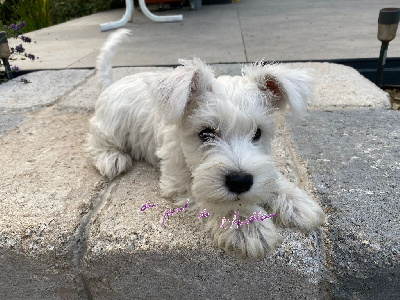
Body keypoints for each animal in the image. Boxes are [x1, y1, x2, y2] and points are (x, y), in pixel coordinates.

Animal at [88, 28, 324, 258]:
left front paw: (296, 202)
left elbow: (271, 178)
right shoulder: (178, 181)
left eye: (257, 133)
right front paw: (248, 224)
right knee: (95, 140)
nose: (240, 181)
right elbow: (214, 198)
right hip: (113, 126)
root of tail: (112, 84)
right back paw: (112, 158)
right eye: (205, 133)